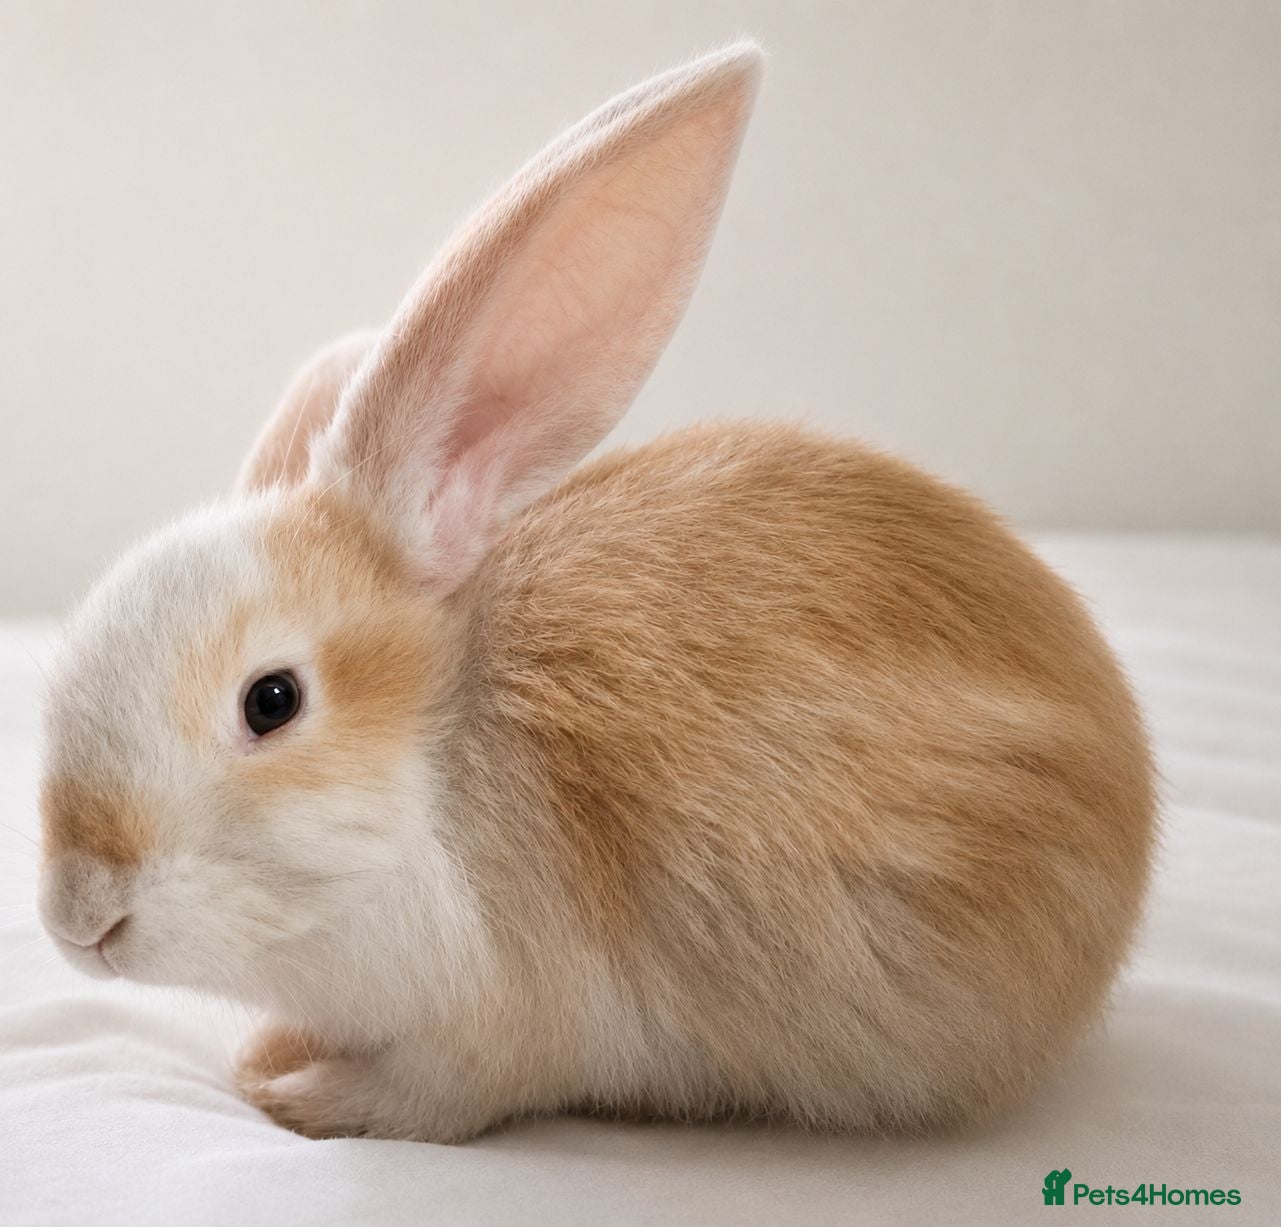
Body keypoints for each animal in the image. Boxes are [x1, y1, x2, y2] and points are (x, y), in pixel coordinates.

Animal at [36, 42, 1155, 1143]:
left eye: (272, 701)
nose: (77, 915)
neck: (430, 778)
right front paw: (267, 1055)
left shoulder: (487, 1034)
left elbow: (429, 1098)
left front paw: (295, 1095)